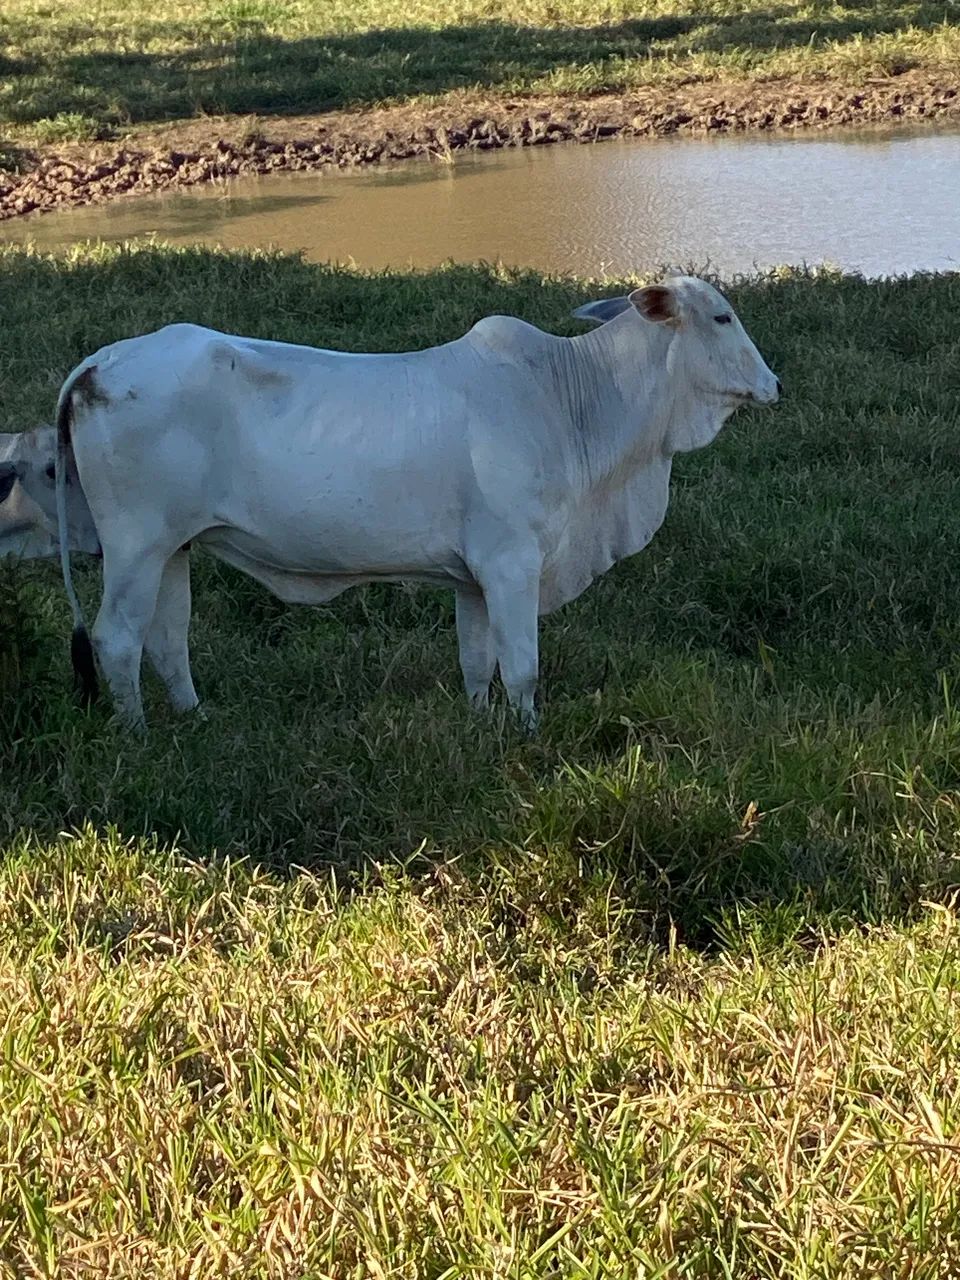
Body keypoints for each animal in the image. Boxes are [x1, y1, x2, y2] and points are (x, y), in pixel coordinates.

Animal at [5, 275, 780, 731]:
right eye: (722, 316)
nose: (774, 385)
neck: (571, 395)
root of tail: (102, 361)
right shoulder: (513, 563)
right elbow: (523, 667)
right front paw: (528, 738)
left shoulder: (472, 578)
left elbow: (478, 663)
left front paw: (480, 728)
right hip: (134, 546)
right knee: (117, 640)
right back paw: (137, 736)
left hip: (175, 547)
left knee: (166, 642)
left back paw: (196, 722)